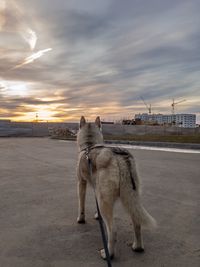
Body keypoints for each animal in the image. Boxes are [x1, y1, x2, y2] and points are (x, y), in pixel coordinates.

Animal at [76, 116, 156, 260]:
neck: (89, 146)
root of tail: (120, 157)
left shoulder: (81, 183)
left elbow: (81, 206)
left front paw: (81, 219)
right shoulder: (96, 190)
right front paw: (97, 216)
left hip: (105, 202)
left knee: (113, 231)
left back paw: (108, 253)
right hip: (130, 199)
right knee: (137, 224)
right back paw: (137, 247)